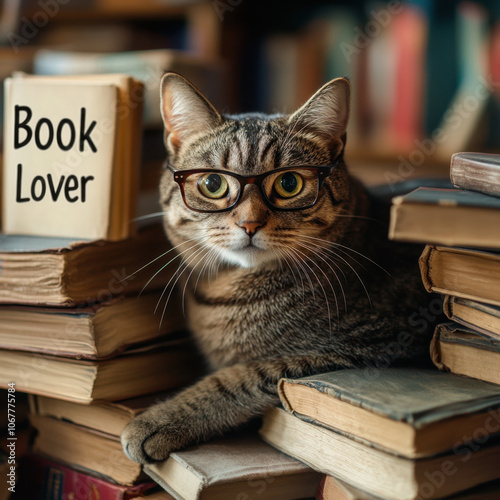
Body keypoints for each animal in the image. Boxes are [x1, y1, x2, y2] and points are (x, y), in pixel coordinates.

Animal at [120, 72, 430, 462]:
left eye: (289, 183)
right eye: (212, 183)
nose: (249, 224)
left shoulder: (373, 347)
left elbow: (242, 377)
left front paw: (161, 419)